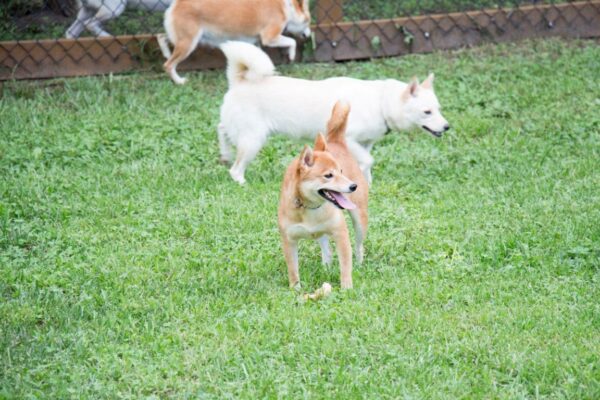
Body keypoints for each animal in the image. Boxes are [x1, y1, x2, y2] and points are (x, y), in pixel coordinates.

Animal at [159, 0, 310, 83]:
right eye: (308, 21)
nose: (309, 36)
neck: (286, 7)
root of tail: (177, 3)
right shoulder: (269, 37)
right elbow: (292, 41)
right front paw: (291, 56)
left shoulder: (256, 42)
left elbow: (261, 59)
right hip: (188, 43)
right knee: (168, 65)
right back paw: (179, 81)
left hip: (183, 39)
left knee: (161, 37)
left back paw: (166, 52)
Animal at [218, 40, 448, 184]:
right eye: (427, 112)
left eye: (438, 109)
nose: (447, 127)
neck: (381, 102)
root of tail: (240, 81)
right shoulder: (349, 140)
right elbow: (368, 161)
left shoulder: (366, 143)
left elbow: (366, 163)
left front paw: (366, 183)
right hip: (253, 140)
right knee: (235, 169)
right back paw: (241, 181)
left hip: (241, 132)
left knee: (221, 129)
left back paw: (225, 154)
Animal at [276, 101, 366, 290]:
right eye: (328, 175)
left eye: (341, 171)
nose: (353, 186)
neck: (310, 208)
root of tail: (335, 141)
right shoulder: (289, 240)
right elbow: (293, 270)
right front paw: (295, 290)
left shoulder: (341, 234)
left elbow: (345, 265)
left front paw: (347, 288)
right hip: (322, 233)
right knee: (326, 249)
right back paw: (326, 267)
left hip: (360, 219)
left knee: (359, 246)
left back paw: (360, 264)